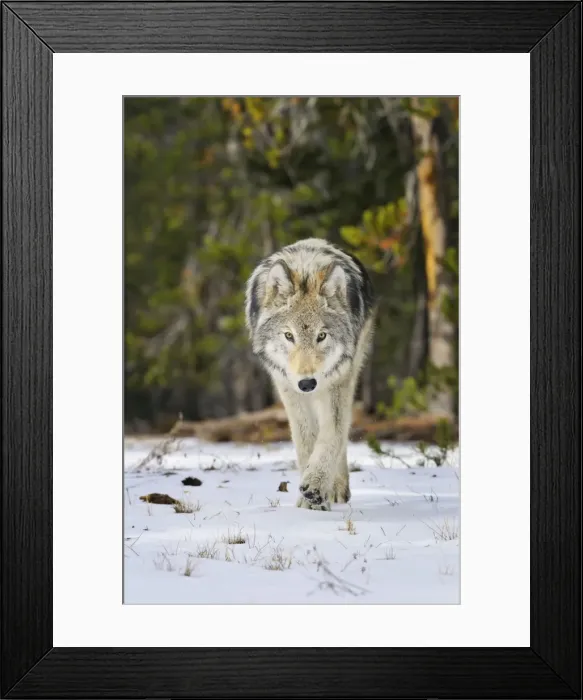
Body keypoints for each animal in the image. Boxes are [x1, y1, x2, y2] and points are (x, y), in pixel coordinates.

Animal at [245, 238, 375, 510]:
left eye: (321, 336)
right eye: (289, 335)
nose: (307, 383)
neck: (305, 269)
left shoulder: (337, 383)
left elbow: (332, 436)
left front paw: (316, 487)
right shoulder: (288, 388)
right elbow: (305, 441)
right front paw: (308, 501)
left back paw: (336, 489)